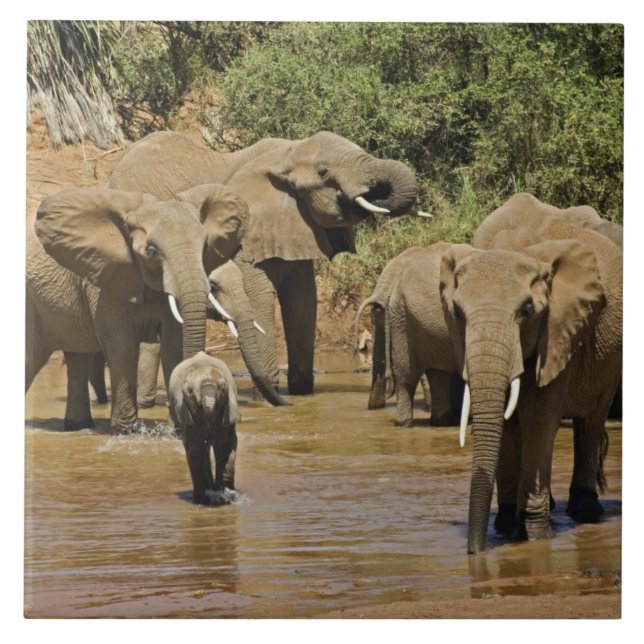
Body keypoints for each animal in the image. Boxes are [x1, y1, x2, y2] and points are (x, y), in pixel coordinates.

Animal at [26, 183, 285, 432]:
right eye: (151, 252)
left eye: (205, 248)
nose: (284, 403)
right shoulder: (103, 283)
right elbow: (123, 346)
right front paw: (125, 431)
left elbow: (173, 342)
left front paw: (177, 429)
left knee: (78, 358)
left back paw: (78, 426)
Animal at [106, 130, 426, 396]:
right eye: (324, 172)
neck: (287, 153)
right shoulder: (246, 234)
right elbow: (258, 296)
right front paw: (269, 392)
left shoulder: (296, 222)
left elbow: (302, 300)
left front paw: (302, 392)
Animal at [168, 351, 240, 505]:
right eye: (190, 392)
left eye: (222, 389)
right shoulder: (185, 412)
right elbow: (196, 448)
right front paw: (204, 500)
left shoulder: (228, 409)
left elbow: (225, 445)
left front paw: (225, 497)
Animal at [439, 194, 622, 553]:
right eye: (457, 312)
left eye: (526, 311)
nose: (474, 553)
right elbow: (507, 423)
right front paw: (507, 526)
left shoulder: (559, 329)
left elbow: (540, 417)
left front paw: (535, 534)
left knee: (591, 419)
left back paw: (585, 511)